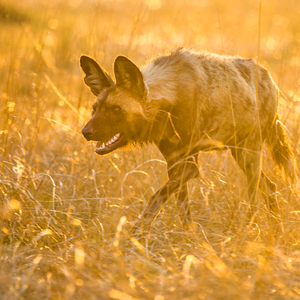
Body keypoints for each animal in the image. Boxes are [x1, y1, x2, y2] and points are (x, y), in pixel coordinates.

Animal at [80, 48, 296, 233]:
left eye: (116, 110)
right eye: (95, 109)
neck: (167, 103)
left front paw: (136, 235)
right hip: (241, 153)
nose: (85, 132)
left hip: (249, 154)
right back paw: (275, 228)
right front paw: (189, 236)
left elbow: (154, 200)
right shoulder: (175, 163)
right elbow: (183, 207)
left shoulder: (190, 166)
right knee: (269, 187)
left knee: (254, 197)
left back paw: (247, 230)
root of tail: (269, 78)